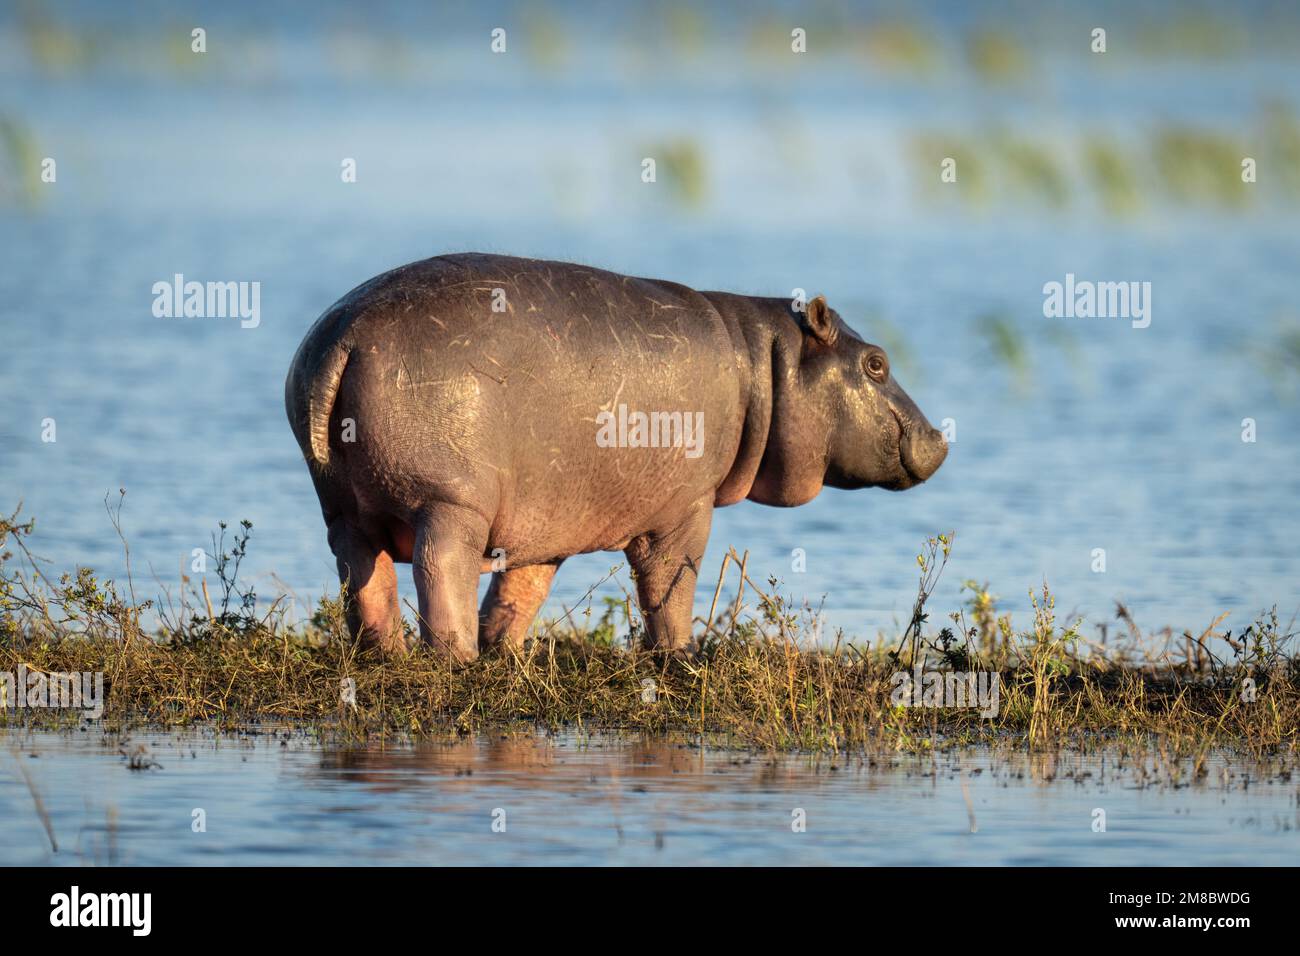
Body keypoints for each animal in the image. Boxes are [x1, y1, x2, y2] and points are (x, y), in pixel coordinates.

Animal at [284, 251, 946, 660]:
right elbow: (672, 582)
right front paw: (681, 657)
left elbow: (521, 590)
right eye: (876, 362)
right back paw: (454, 658)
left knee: (361, 574)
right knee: (439, 566)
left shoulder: (547, 518)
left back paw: (387, 654)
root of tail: (345, 335)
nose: (941, 438)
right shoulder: (685, 507)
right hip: (450, 502)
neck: (766, 363)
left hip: (343, 507)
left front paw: (504, 651)